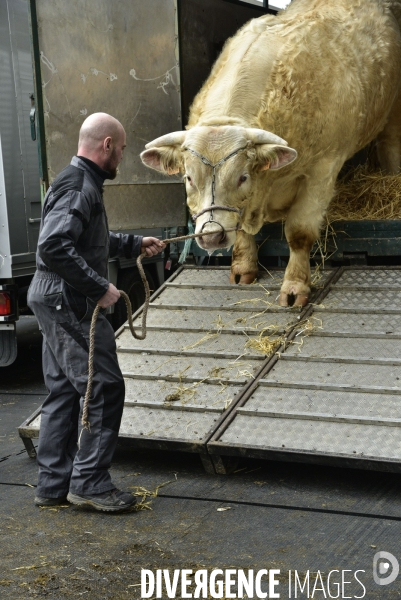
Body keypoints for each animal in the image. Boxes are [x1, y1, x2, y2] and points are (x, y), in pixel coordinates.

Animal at [140, 0, 400, 308]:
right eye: (189, 178)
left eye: (241, 177)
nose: (212, 237)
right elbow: (240, 229)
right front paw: (243, 267)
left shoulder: (322, 171)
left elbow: (299, 233)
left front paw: (295, 286)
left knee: (390, 144)